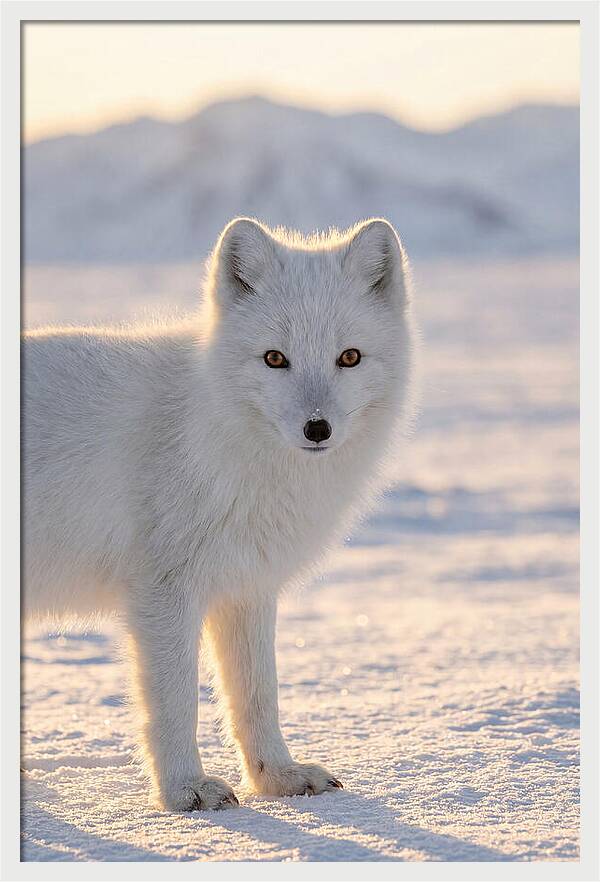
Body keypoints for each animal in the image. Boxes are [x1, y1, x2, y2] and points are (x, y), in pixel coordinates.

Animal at [22, 217, 417, 811]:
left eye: (349, 357)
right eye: (275, 358)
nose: (317, 428)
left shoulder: (246, 586)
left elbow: (258, 696)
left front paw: (278, 778)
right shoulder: (163, 592)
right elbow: (175, 703)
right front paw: (184, 791)